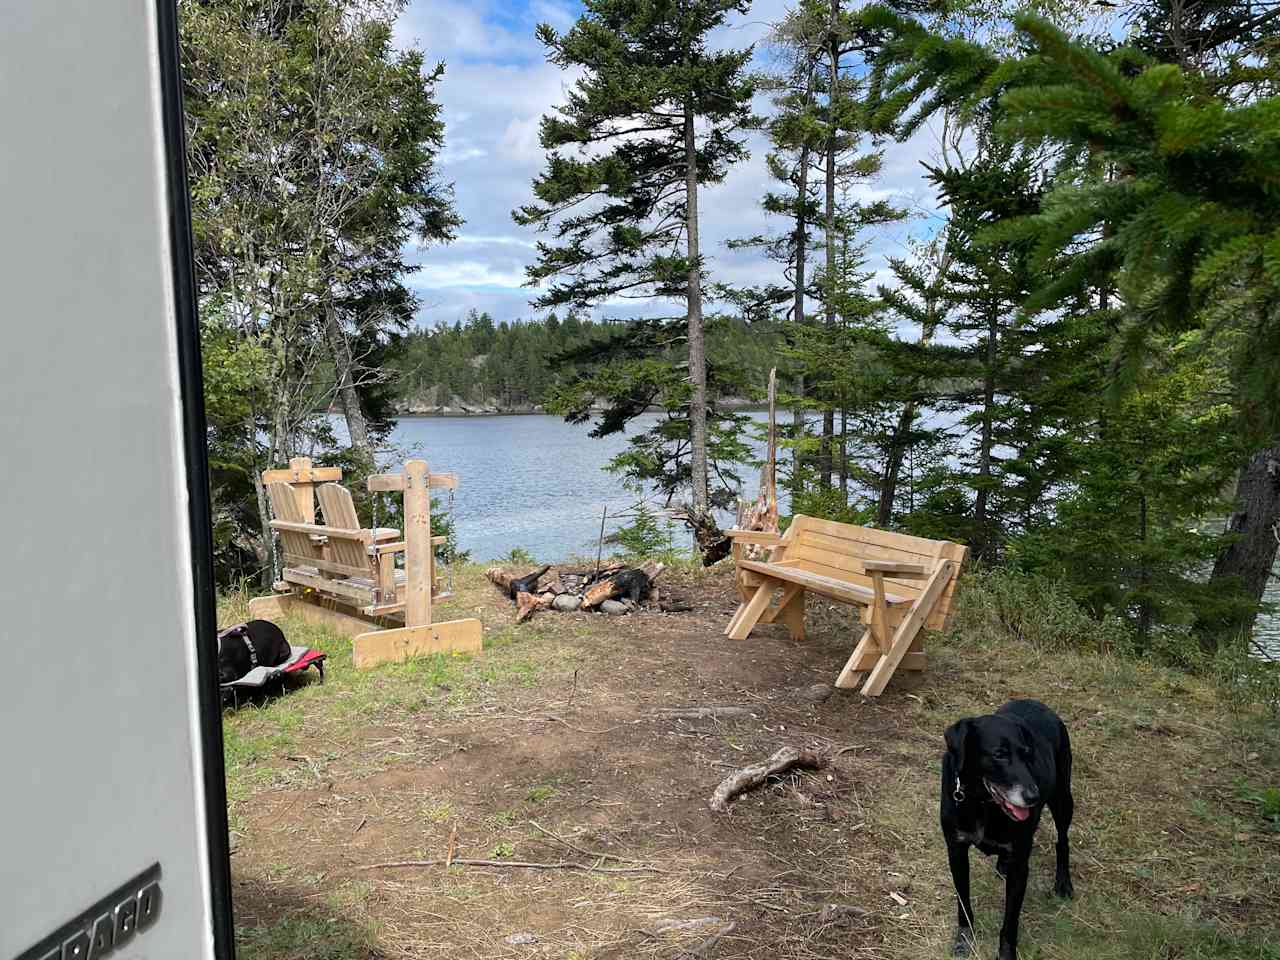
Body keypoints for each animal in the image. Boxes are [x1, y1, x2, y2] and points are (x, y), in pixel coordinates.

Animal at [942, 701, 1070, 960]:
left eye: (1027, 753)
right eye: (999, 754)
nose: (1033, 797)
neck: (982, 802)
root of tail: (1038, 703)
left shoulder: (1020, 867)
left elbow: (1010, 920)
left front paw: (1006, 953)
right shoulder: (956, 851)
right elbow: (963, 902)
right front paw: (964, 938)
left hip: (1062, 798)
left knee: (1063, 840)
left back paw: (1063, 883)